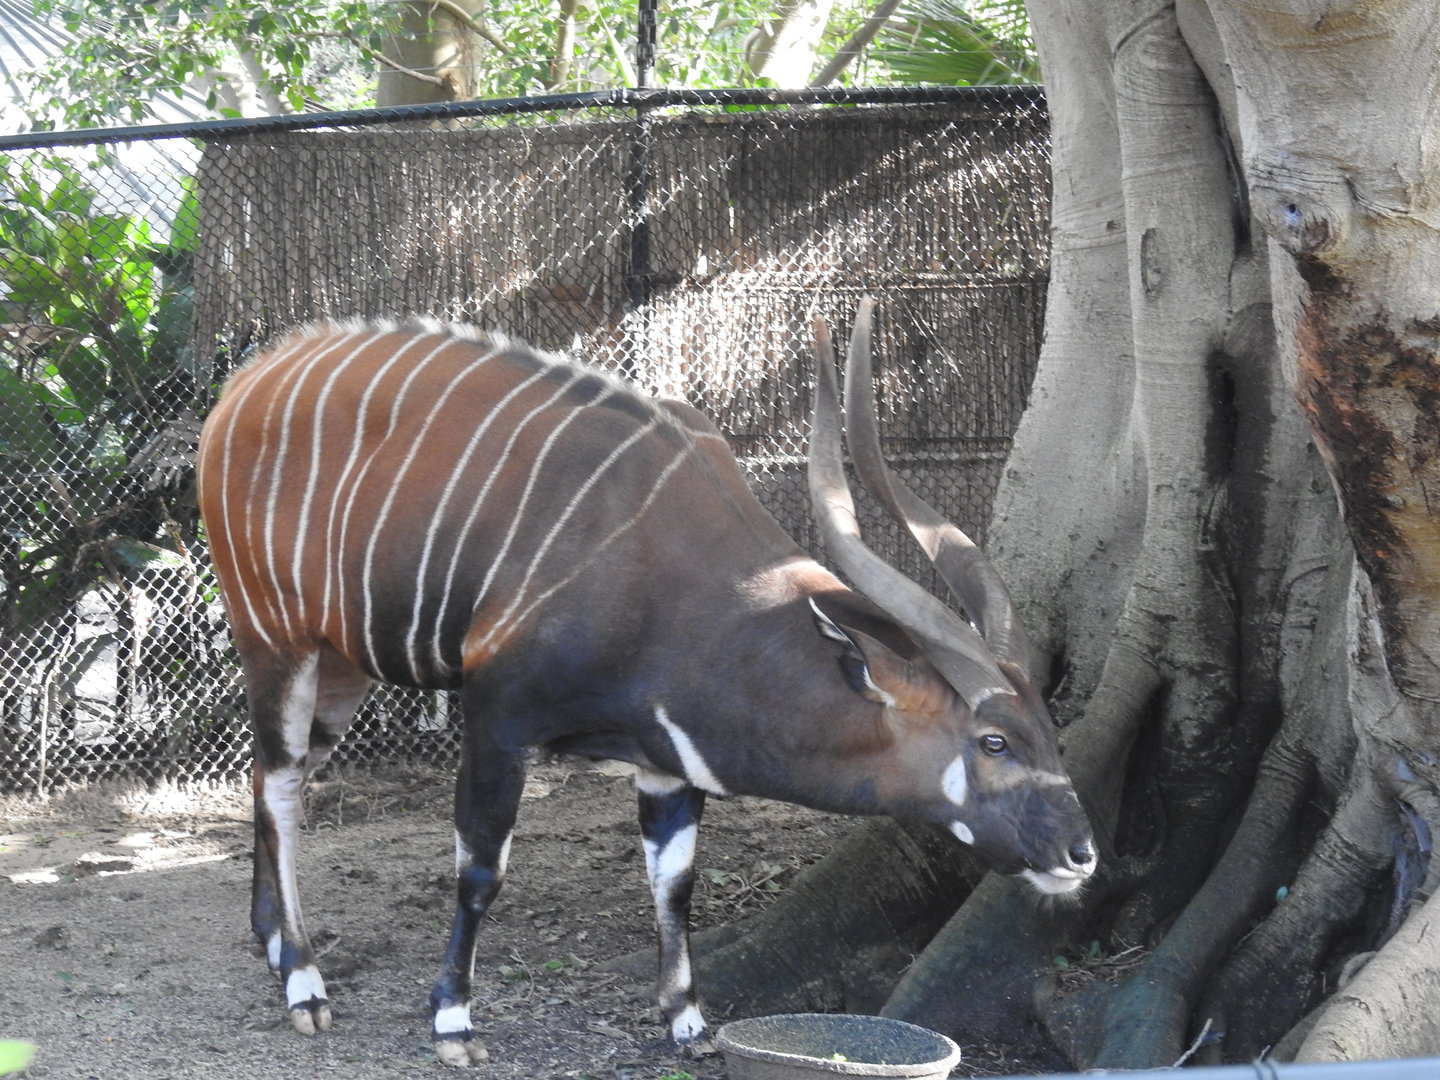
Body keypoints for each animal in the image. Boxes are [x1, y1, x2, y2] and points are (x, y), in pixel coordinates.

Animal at [195, 299, 1095, 1067]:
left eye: (1049, 731)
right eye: (993, 740)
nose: (1081, 853)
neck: (677, 576)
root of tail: (241, 387)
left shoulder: (667, 762)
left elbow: (675, 882)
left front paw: (687, 1022)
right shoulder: (497, 718)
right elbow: (481, 868)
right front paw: (453, 1020)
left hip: (340, 667)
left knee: (272, 777)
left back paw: (272, 943)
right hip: (275, 637)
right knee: (282, 784)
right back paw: (303, 981)